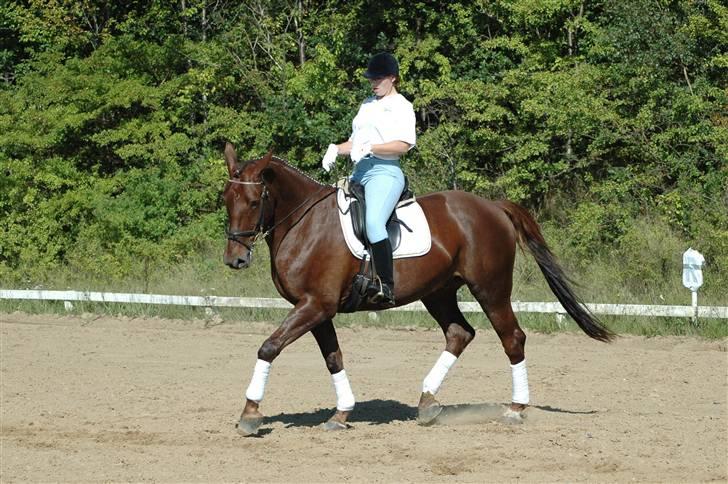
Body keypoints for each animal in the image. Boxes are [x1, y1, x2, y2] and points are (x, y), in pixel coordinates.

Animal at [223, 143, 616, 434]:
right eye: (225, 199)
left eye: (255, 202)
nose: (235, 260)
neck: (303, 224)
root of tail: (493, 206)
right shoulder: (316, 308)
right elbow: (333, 358)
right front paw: (341, 414)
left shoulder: (315, 305)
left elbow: (269, 347)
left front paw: (250, 413)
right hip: (438, 292)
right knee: (460, 333)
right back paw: (427, 403)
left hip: (490, 289)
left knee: (512, 338)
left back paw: (516, 409)